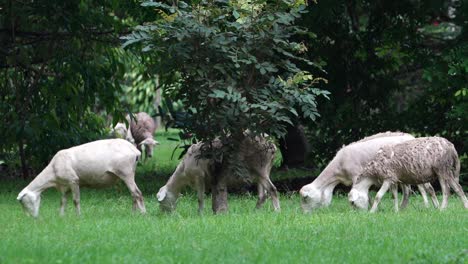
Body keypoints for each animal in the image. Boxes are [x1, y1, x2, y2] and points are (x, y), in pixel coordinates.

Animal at [16, 139, 145, 218]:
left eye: (24, 202)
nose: (34, 218)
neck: (52, 171)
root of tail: (135, 151)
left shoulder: (73, 180)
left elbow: (75, 200)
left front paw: (78, 217)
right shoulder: (64, 186)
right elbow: (62, 202)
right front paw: (61, 217)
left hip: (126, 172)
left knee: (137, 193)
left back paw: (143, 213)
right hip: (129, 173)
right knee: (134, 194)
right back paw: (133, 214)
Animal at [300, 132, 436, 212]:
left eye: (305, 198)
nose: (305, 214)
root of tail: (411, 137)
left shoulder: (357, 175)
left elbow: (366, 195)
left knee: (424, 188)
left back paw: (428, 206)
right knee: (407, 191)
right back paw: (402, 209)